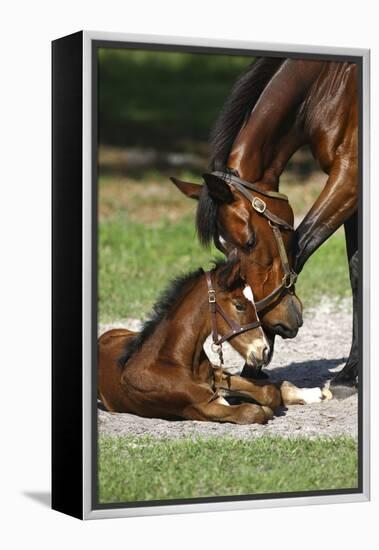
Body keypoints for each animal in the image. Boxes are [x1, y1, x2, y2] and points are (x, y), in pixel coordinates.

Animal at [98, 260, 332, 426]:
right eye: (239, 305)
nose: (263, 351)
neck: (173, 361)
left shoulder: (217, 375)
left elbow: (269, 392)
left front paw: (308, 393)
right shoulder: (199, 407)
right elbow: (253, 410)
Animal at [172, 58, 360, 398]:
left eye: (249, 242)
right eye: (222, 247)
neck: (327, 84)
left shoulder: (349, 176)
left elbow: (300, 246)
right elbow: (355, 272)